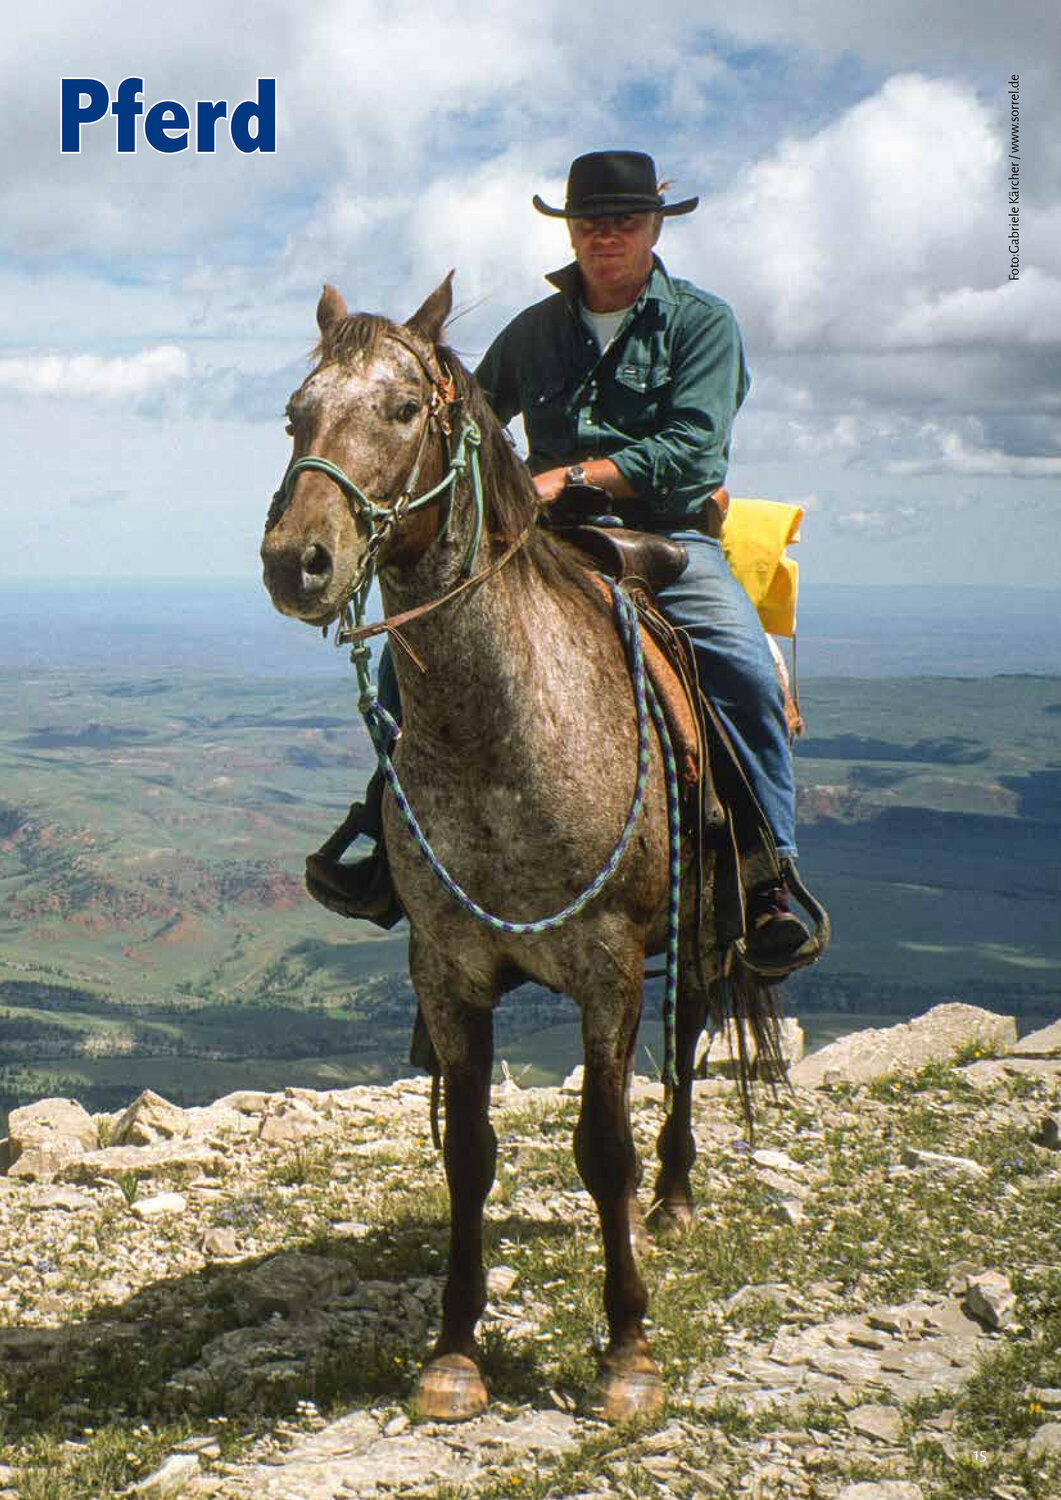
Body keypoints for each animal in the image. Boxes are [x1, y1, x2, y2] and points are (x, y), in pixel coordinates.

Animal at [260, 274, 781, 1423]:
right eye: (293, 415)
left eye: (403, 410)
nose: (295, 562)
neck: (503, 731)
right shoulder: (446, 970)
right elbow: (466, 1153)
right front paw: (454, 1350)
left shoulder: (606, 967)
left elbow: (602, 1148)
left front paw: (626, 1351)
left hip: (703, 923)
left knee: (685, 1044)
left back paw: (677, 1198)